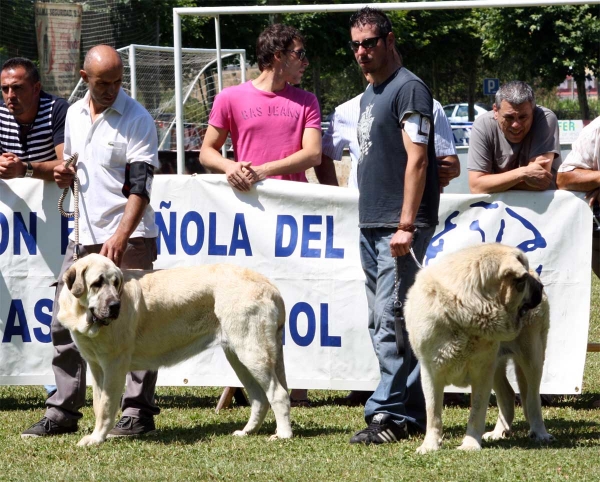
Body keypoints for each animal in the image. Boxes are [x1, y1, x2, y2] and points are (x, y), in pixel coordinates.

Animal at [55, 254, 292, 446]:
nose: (115, 306)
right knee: (260, 398)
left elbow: (106, 406)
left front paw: (96, 439)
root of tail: (272, 287)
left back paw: (283, 435)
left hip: (252, 352)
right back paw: (247, 432)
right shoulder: (96, 367)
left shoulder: (114, 365)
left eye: (116, 283)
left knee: (278, 393)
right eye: (97, 283)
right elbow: (98, 404)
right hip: (238, 357)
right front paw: (97, 435)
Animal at [404, 243, 552, 454]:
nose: (540, 286)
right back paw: (499, 432)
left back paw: (540, 433)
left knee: (532, 400)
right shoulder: (430, 372)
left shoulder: (482, 372)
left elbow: (477, 410)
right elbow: (433, 413)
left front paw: (470, 444)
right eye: (523, 280)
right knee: (508, 396)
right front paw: (430, 445)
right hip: (497, 365)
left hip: (531, 358)